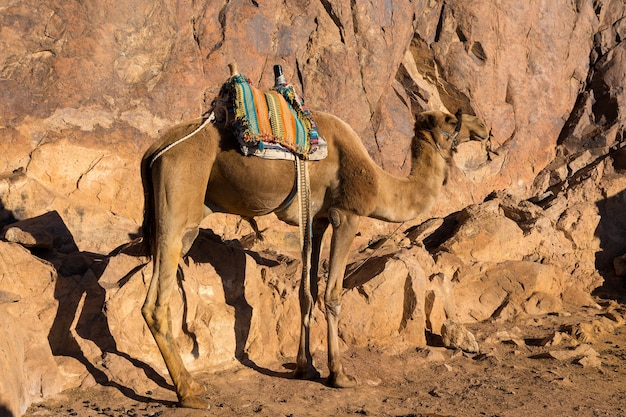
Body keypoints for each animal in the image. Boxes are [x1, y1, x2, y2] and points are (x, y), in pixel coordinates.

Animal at [140, 85, 488, 406]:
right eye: (450, 119)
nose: (483, 128)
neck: (380, 183)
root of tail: (153, 151)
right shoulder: (346, 214)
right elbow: (332, 295)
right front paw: (339, 374)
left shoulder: (317, 220)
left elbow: (307, 292)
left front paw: (305, 368)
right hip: (180, 200)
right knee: (156, 303)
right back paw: (188, 392)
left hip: (170, 217)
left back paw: (191, 385)